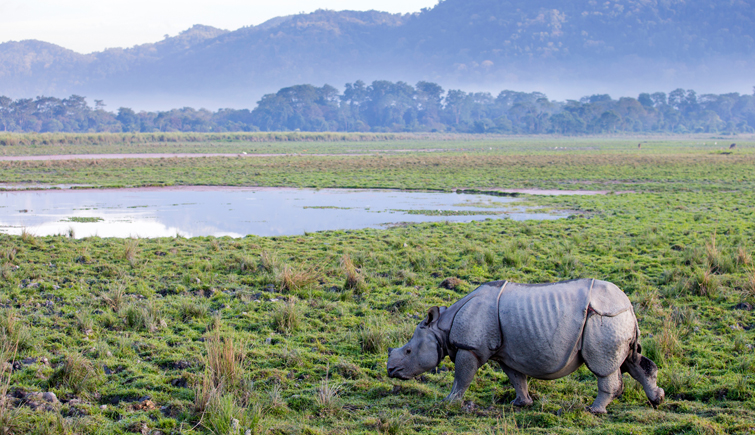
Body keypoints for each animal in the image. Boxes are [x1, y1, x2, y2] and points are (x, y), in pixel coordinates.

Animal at [386, 280, 664, 416]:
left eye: (408, 352)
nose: (390, 370)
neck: (442, 327)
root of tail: (628, 304)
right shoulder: (506, 354)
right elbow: (516, 378)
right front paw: (521, 404)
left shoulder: (470, 348)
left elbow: (462, 377)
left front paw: (449, 402)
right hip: (616, 319)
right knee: (632, 361)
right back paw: (657, 399)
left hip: (603, 318)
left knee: (604, 367)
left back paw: (594, 410)